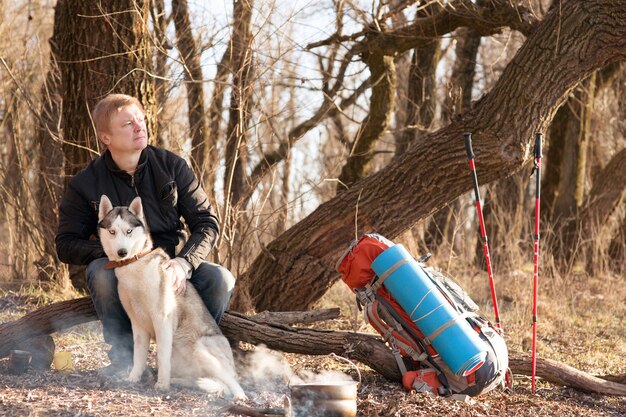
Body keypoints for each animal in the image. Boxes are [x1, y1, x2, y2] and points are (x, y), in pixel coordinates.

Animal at [96, 193, 245, 398]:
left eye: (128, 231)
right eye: (112, 232)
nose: (122, 252)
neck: (134, 266)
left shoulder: (162, 319)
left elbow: (162, 356)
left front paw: (162, 385)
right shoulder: (137, 324)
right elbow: (138, 356)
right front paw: (133, 378)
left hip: (201, 349)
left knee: (232, 382)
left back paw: (240, 396)